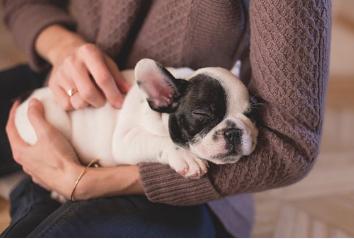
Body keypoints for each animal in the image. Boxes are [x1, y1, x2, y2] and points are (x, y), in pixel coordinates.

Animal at [14, 58, 258, 179]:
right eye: (202, 114)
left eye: (251, 114)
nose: (234, 131)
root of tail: (25, 97)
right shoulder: (125, 140)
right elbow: (161, 141)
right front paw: (187, 158)